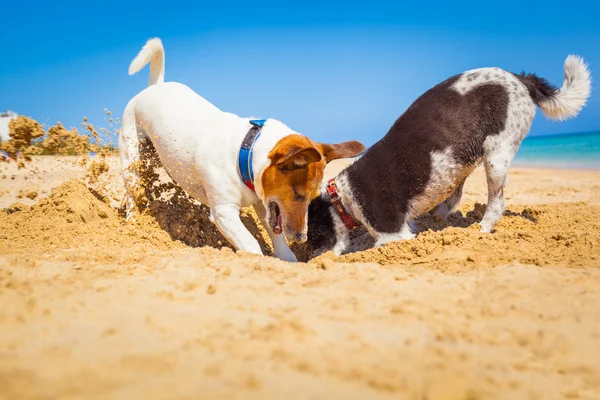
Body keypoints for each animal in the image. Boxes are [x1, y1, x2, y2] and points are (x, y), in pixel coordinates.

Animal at [116, 39, 360, 260]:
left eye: (312, 199)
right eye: (298, 195)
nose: (301, 238)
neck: (246, 151)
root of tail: (155, 87)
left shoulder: (264, 205)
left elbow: (277, 235)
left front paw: (288, 259)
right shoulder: (224, 212)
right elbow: (251, 244)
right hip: (130, 155)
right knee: (131, 192)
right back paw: (133, 224)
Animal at [304, 55, 592, 256]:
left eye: (314, 235)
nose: (307, 257)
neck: (343, 198)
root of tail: (520, 78)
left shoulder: (392, 234)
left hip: (496, 155)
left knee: (496, 203)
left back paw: (480, 230)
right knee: (453, 198)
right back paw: (438, 219)